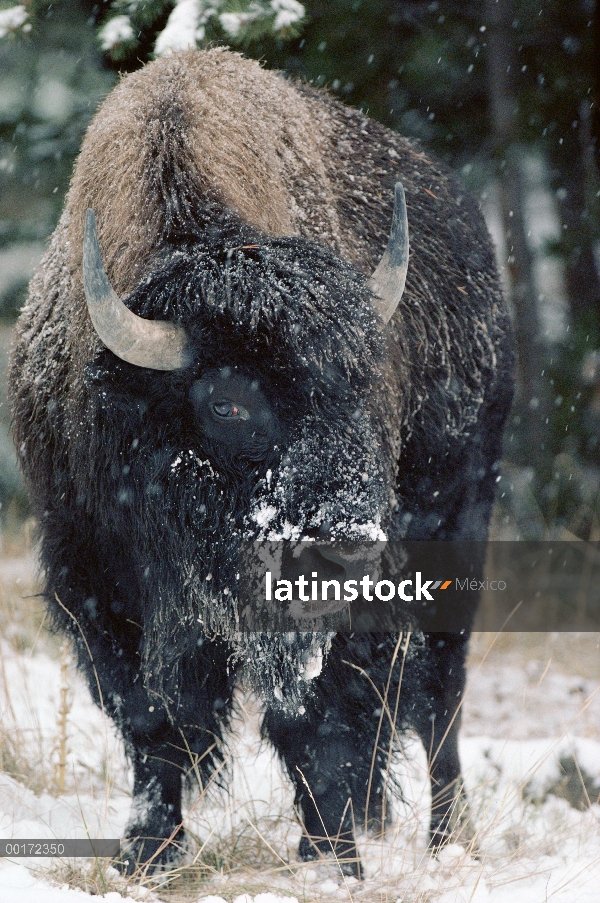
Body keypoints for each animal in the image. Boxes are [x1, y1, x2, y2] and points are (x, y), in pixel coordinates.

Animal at [9, 47, 512, 876]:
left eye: (363, 380)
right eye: (228, 401)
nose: (344, 543)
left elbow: (320, 720)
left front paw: (335, 859)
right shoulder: (95, 582)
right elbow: (154, 721)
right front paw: (146, 855)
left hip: (457, 533)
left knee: (439, 696)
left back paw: (445, 841)